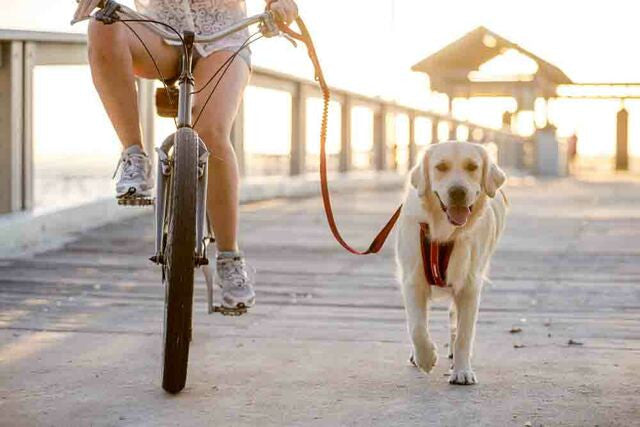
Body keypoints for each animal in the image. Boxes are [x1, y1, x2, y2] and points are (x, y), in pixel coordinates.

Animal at [392, 142, 508, 386]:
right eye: (441, 167)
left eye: (472, 166)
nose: (457, 192)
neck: (444, 232)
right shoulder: (412, 280)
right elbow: (417, 327)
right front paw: (426, 358)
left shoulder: (470, 285)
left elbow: (464, 334)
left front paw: (462, 371)